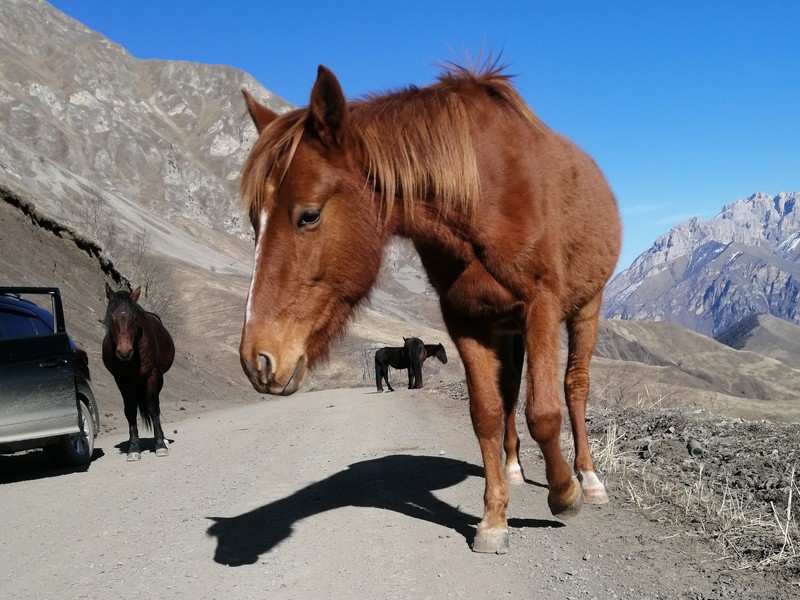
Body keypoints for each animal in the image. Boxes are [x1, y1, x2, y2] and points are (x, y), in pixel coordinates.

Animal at [102, 284, 174, 462]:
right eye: (112, 318)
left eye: (134, 318)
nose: (124, 352)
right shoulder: (122, 380)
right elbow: (130, 411)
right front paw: (133, 448)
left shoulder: (152, 375)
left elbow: (153, 408)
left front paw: (160, 445)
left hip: (158, 379)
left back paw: (164, 439)